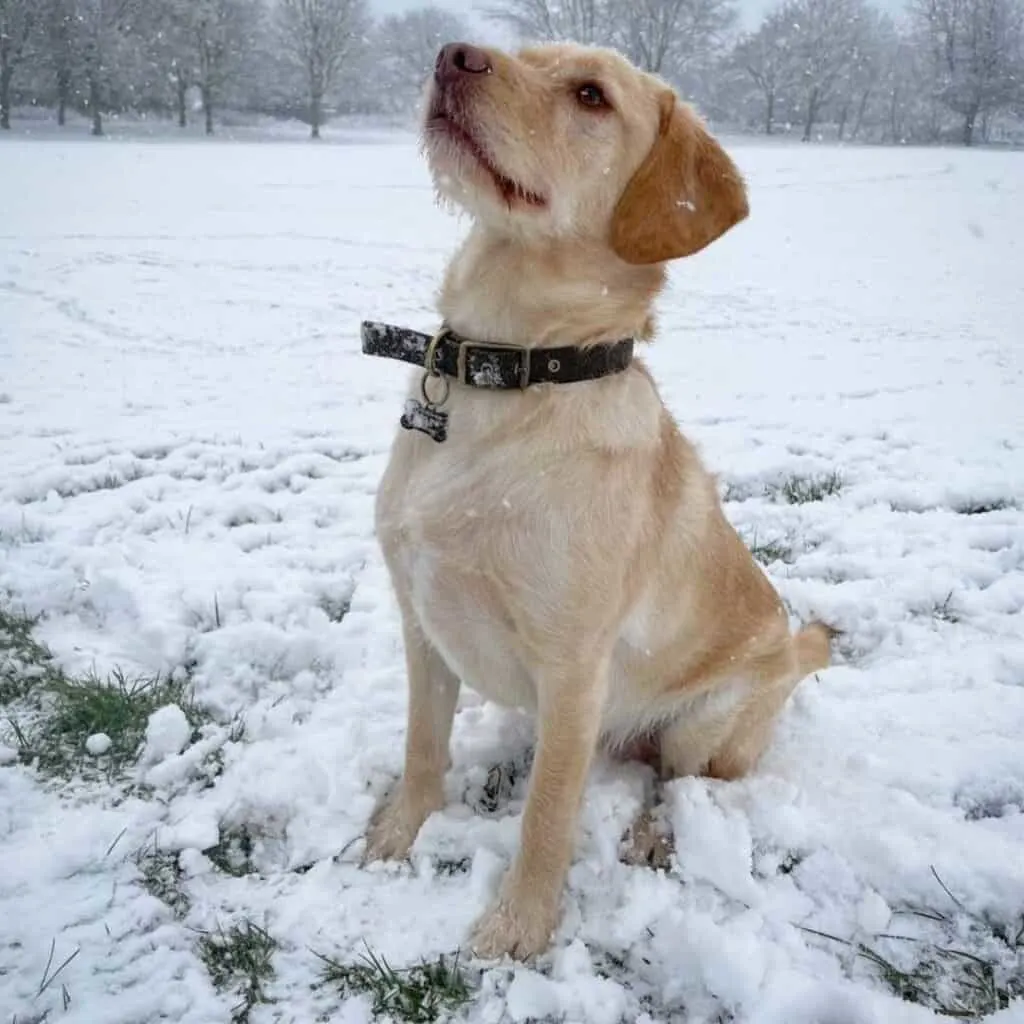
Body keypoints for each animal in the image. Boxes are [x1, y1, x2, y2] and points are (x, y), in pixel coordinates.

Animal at [362, 37, 831, 958]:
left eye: (590, 96)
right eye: (524, 52)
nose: (453, 52)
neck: (508, 372)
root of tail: (793, 656)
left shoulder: (575, 664)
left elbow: (547, 812)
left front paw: (518, 928)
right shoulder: (421, 621)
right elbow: (423, 744)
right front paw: (400, 831)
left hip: (706, 721)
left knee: (686, 786)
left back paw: (654, 835)